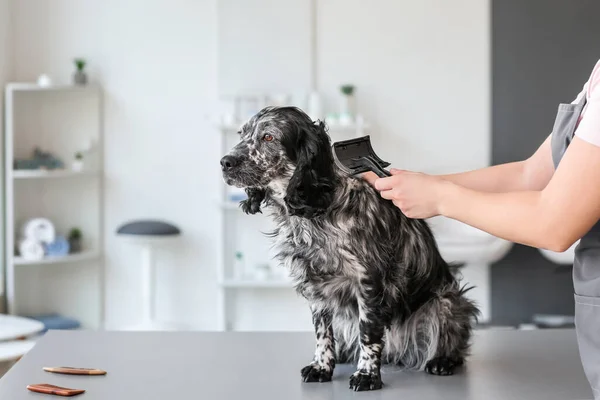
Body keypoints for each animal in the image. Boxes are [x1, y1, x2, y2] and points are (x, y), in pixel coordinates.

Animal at [219, 105, 478, 390]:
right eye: (242, 134)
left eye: (268, 137)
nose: (225, 162)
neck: (315, 215)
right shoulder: (315, 286)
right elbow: (322, 332)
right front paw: (321, 366)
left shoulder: (369, 281)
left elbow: (368, 333)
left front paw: (367, 374)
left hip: (447, 301)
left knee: (452, 338)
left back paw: (442, 360)